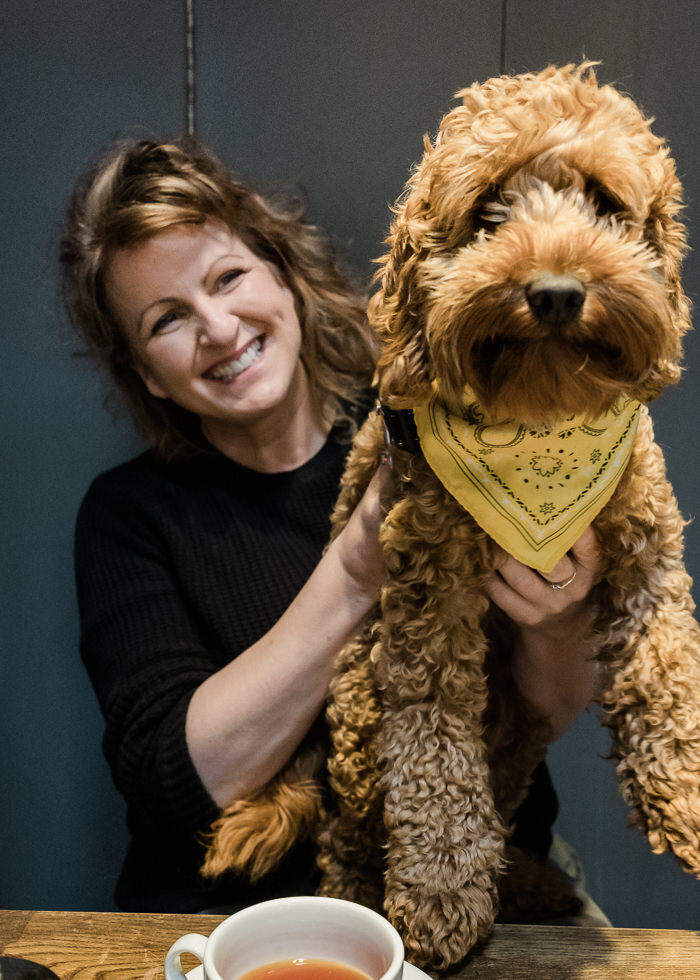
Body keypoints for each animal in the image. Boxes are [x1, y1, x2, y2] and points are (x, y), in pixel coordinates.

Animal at [201, 65, 700, 968]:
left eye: (605, 204)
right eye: (490, 213)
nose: (557, 293)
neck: (539, 422)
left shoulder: (647, 550)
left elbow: (666, 668)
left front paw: (687, 796)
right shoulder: (426, 588)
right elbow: (433, 745)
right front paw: (439, 893)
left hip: (516, 729)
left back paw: (528, 882)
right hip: (359, 714)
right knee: (348, 835)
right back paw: (366, 896)